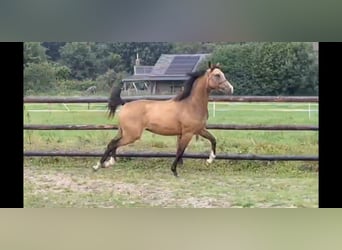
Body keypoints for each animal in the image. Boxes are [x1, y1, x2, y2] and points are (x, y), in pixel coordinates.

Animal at [92, 61, 234, 177]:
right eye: (217, 75)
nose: (231, 88)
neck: (191, 104)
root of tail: (125, 104)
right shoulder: (188, 133)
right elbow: (180, 151)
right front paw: (174, 171)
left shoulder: (199, 130)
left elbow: (213, 139)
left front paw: (209, 160)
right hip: (132, 135)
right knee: (114, 144)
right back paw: (99, 165)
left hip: (124, 132)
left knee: (112, 143)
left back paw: (105, 164)